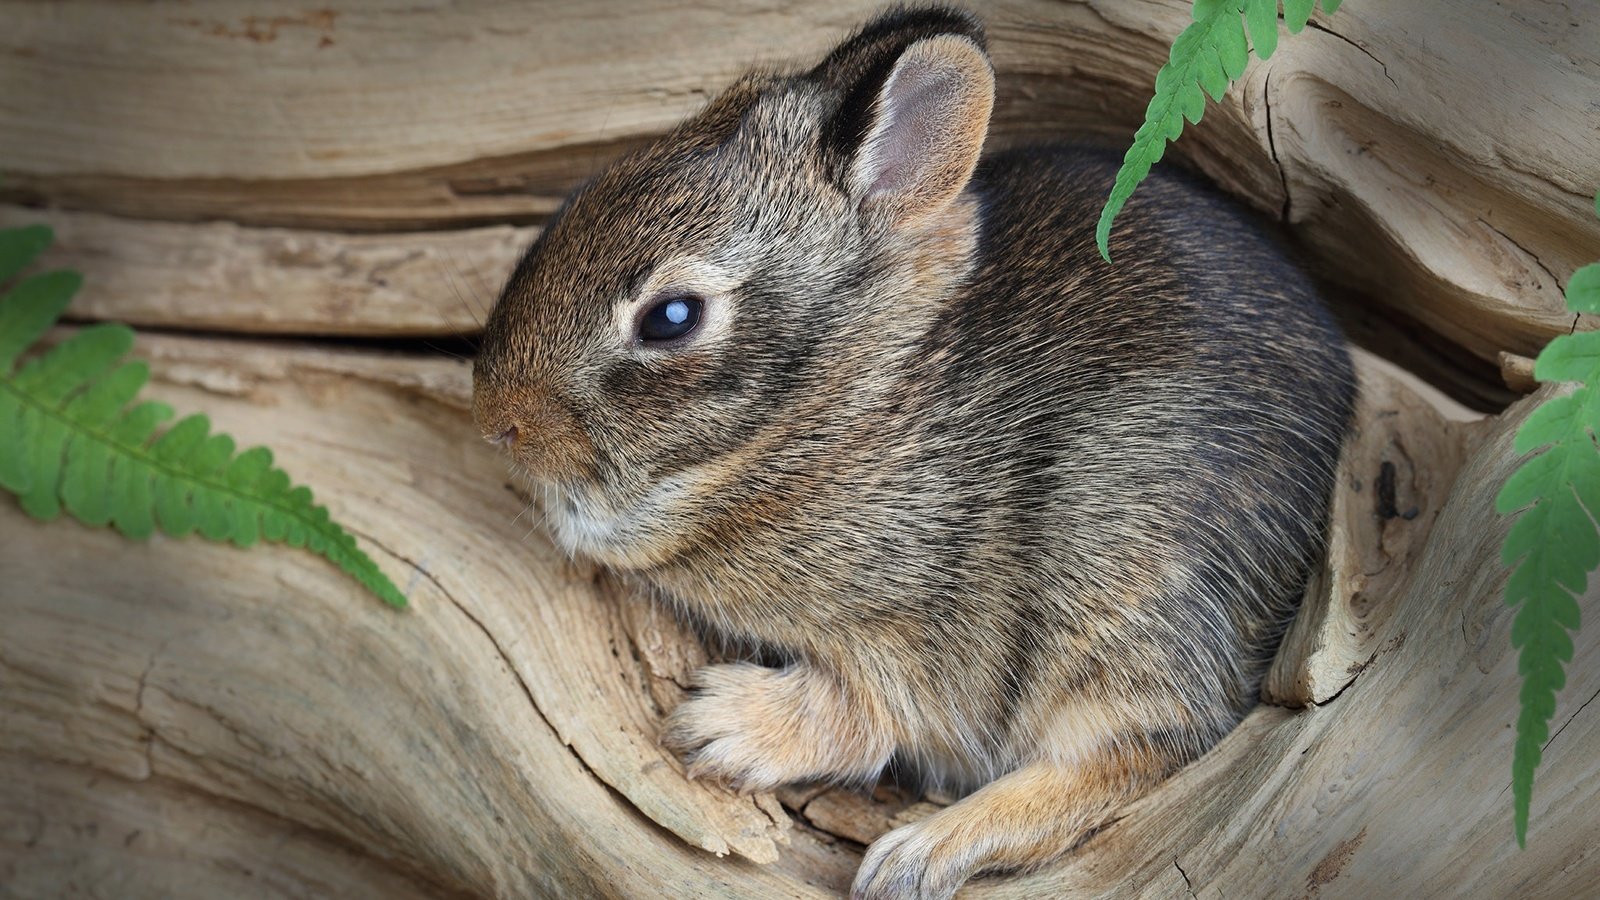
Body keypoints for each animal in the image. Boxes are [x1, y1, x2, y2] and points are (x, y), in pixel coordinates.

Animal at [470, 3, 1350, 890]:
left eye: (671, 318)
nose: (497, 419)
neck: (852, 399)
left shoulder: (917, 640)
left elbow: (863, 715)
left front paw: (720, 727)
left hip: (1118, 589)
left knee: (1145, 749)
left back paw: (917, 854)